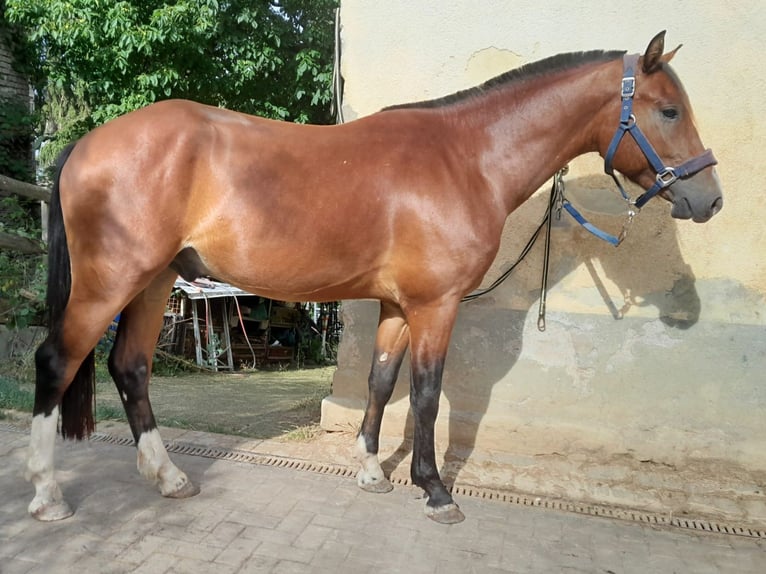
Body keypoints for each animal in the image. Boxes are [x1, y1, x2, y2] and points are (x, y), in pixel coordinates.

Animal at [27, 31, 722, 524]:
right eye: (667, 111)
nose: (708, 200)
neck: (465, 158)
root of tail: (87, 143)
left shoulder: (397, 306)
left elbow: (381, 384)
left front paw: (369, 472)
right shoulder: (436, 305)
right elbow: (426, 394)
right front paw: (436, 491)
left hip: (151, 284)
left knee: (131, 367)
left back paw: (169, 478)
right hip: (109, 284)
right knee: (56, 361)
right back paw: (47, 495)